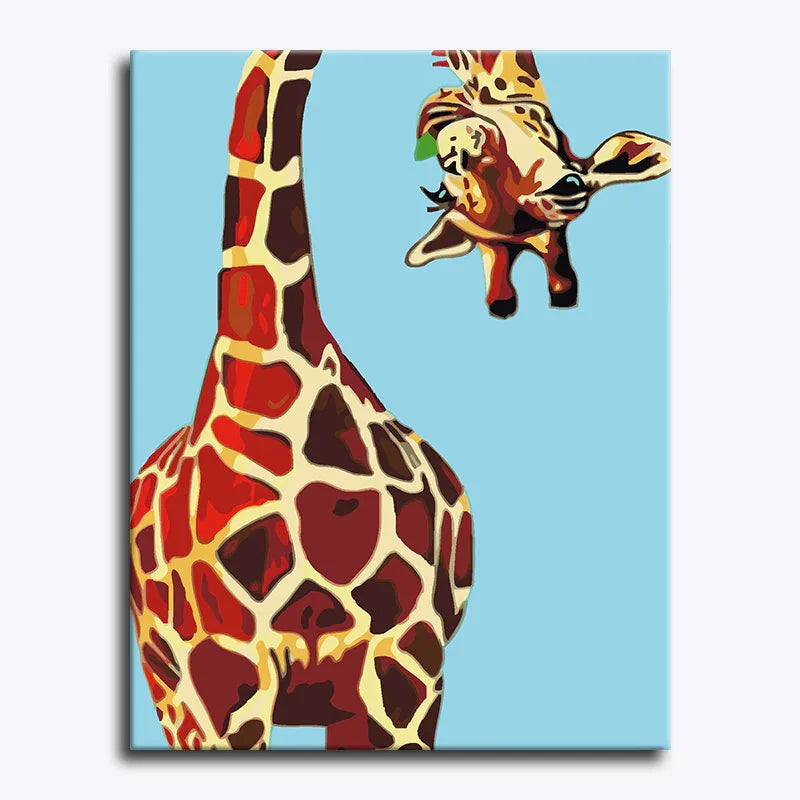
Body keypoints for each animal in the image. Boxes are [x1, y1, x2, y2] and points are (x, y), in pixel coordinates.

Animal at [406, 50, 671, 317]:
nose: (567, 184)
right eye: (460, 162)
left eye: (548, 126)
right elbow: (501, 296)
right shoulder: (493, 243)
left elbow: (563, 284)